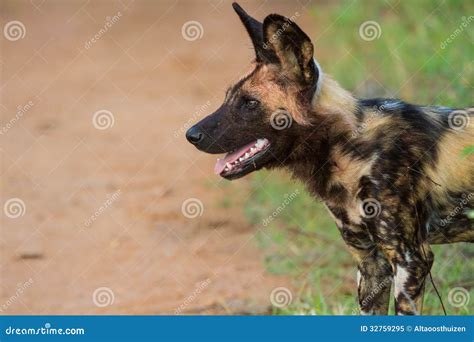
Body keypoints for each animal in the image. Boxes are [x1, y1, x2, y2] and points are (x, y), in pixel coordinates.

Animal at [186, 3, 474, 316]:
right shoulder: (371, 262)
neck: (348, 149)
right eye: (227, 98)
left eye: (250, 103)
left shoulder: (411, 260)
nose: (191, 135)